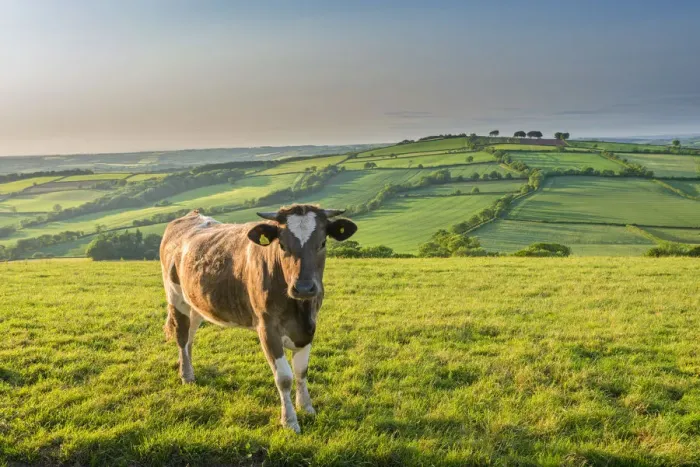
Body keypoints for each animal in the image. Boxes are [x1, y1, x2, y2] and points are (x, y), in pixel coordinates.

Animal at [159, 204, 357, 433]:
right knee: (182, 335)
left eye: (323, 242)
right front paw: (289, 421)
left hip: (196, 302)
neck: (299, 308)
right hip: (175, 295)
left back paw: (189, 368)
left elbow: (301, 371)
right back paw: (186, 375)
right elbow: (284, 378)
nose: (304, 287)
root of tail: (191, 215)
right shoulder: (267, 328)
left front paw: (307, 407)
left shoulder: (309, 326)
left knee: (190, 335)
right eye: (281, 244)